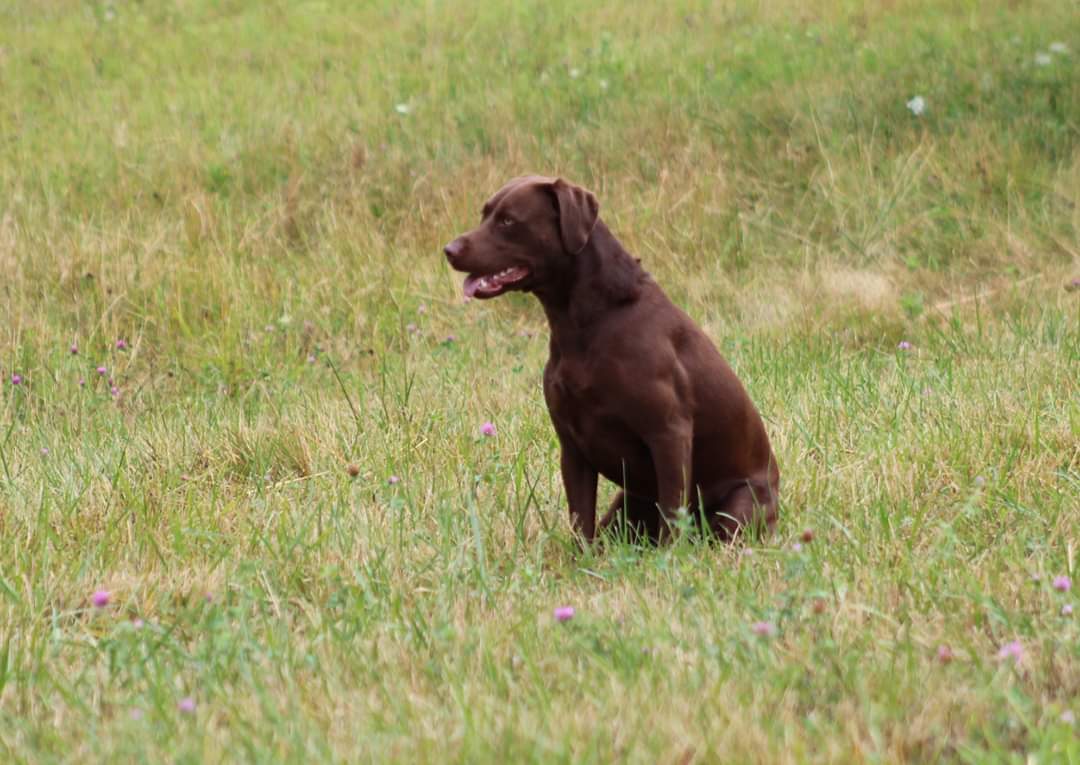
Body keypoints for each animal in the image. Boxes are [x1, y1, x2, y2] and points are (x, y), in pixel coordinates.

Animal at [442, 176, 781, 540]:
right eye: (485, 215)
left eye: (508, 221)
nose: (449, 250)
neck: (590, 320)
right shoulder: (571, 446)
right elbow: (581, 520)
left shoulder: (669, 434)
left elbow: (672, 513)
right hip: (625, 505)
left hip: (740, 505)